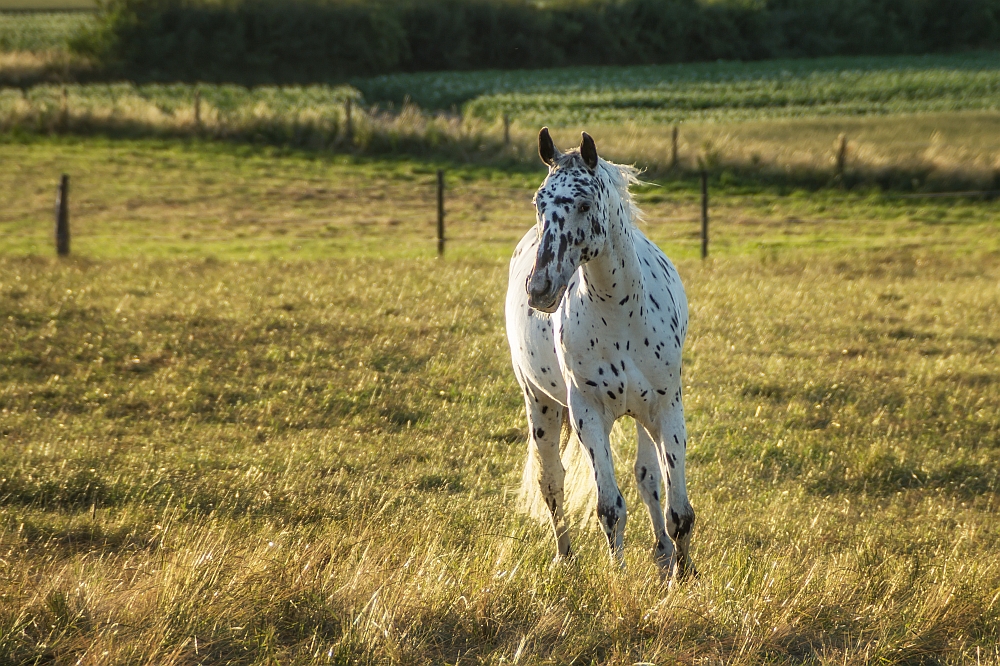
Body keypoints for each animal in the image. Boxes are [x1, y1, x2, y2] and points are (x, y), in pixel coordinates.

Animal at [508, 127, 696, 580]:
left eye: (583, 203)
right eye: (539, 201)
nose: (539, 288)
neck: (621, 313)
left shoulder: (668, 409)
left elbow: (679, 511)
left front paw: (683, 576)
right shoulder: (588, 415)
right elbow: (610, 508)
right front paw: (619, 577)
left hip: (643, 417)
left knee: (648, 479)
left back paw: (663, 555)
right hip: (540, 403)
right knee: (551, 482)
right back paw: (565, 558)